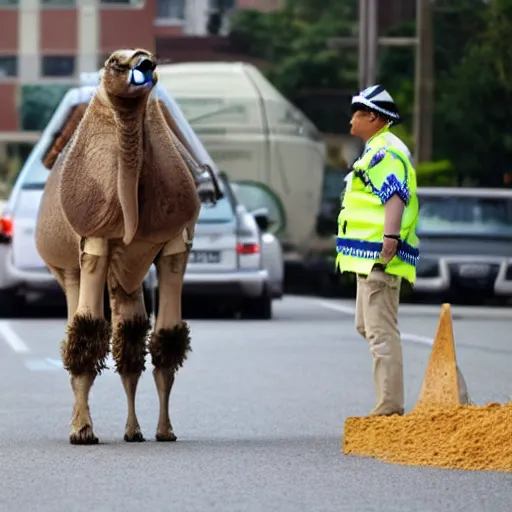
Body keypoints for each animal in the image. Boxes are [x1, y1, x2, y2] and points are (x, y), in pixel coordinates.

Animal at [36, 50, 220, 446]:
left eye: (150, 61)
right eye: (113, 62)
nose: (144, 63)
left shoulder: (176, 243)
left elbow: (166, 336)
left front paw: (165, 431)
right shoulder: (94, 237)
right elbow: (87, 332)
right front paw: (83, 431)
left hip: (127, 276)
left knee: (129, 332)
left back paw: (133, 431)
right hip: (66, 269)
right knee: (79, 325)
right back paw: (88, 425)